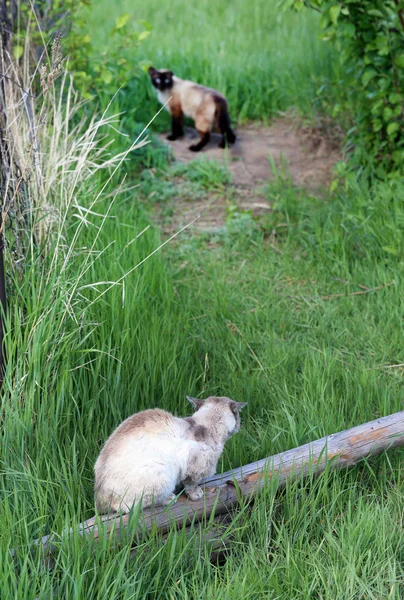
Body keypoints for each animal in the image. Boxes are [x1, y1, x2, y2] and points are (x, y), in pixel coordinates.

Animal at [94, 396, 246, 512]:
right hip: (161, 474)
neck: (205, 426)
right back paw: (168, 499)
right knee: (127, 508)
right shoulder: (193, 466)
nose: (240, 425)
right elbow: (190, 483)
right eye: (239, 416)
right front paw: (196, 494)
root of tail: (99, 499)